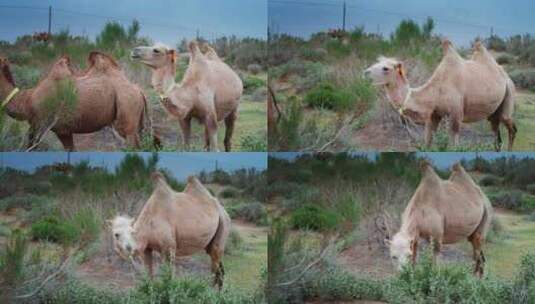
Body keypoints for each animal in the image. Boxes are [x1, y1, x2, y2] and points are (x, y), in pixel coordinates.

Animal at [0, 54, 155, 151]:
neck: (27, 101)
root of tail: (139, 91)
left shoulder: (40, 124)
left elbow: (31, 147)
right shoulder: (63, 131)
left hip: (127, 109)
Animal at [366, 39, 516, 151]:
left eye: (385, 68)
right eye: (376, 63)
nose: (365, 72)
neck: (435, 91)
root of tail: (506, 76)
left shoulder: (456, 114)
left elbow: (454, 145)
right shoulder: (434, 115)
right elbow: (428, 142)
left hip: (508, 95)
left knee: (511, 127)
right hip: (493, 113)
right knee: (497, 135)